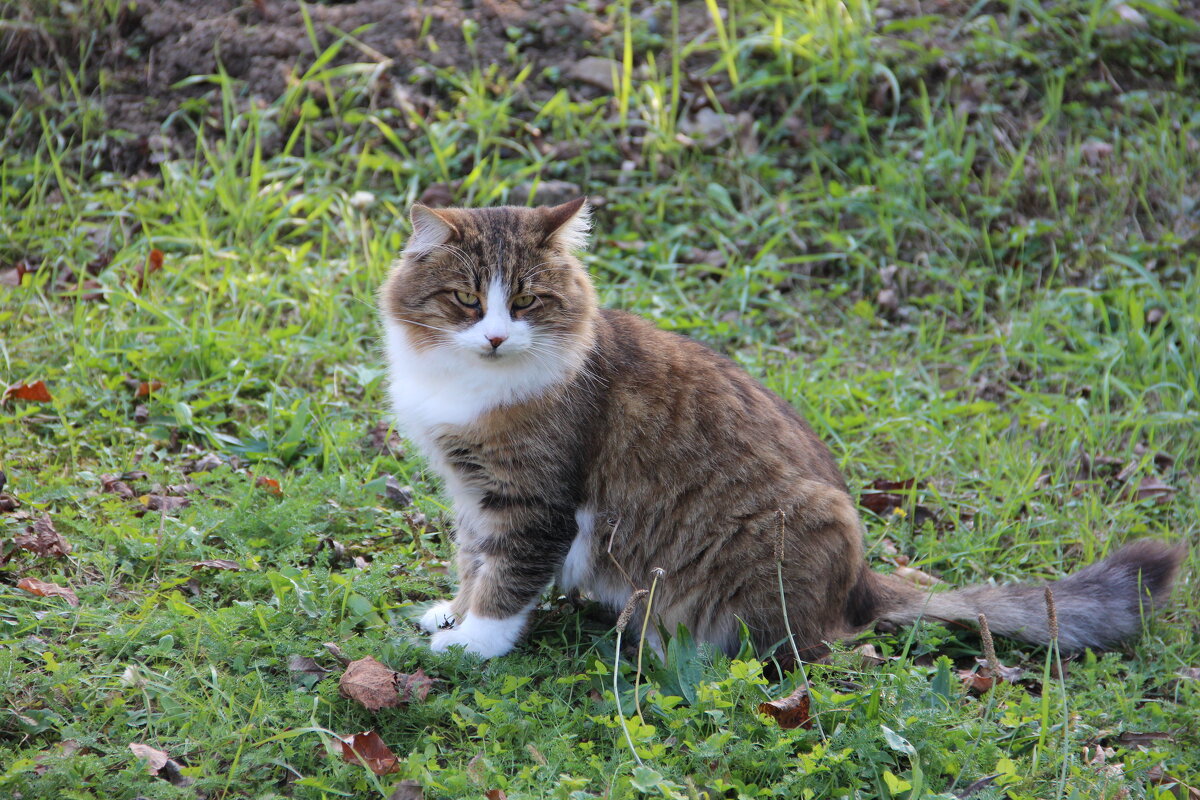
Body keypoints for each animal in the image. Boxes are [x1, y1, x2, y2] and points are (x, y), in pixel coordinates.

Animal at [381, 196, 1180, 662]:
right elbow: (473, 562)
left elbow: (506, 581)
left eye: (525, 302)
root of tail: (861, 583)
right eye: (465, 301)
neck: (468, 386)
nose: (494, 337)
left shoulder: (535, 502)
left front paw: (471, 645)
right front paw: (451, 617)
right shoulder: (474, 493)